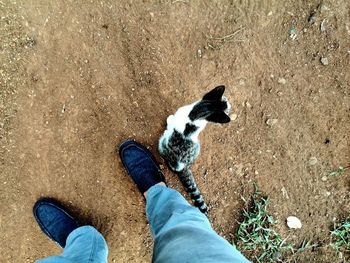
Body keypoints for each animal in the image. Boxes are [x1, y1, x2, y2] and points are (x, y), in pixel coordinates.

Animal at [159, 85, 231, 216]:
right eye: (225, 99)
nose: (230, 106)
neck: (196, 113)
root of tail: (181, 166)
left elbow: (171, 122)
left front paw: (169, 119)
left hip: (164, 142)